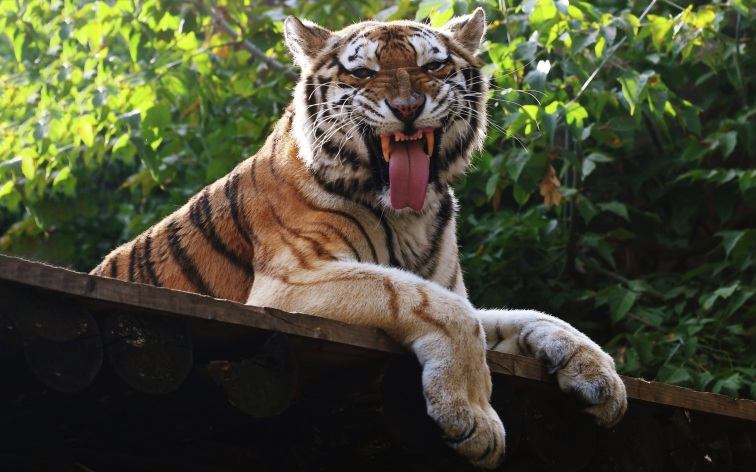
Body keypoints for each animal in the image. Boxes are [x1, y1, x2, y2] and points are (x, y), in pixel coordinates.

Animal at [91, 8, 627, 469]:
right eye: (364, 73)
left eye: (433, 65)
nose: (408, 108)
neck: (410, 215)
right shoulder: (290, 284)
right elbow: (438, 308)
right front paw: (475, 420)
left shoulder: (448, 285)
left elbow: (525, 316)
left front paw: (600, 376)